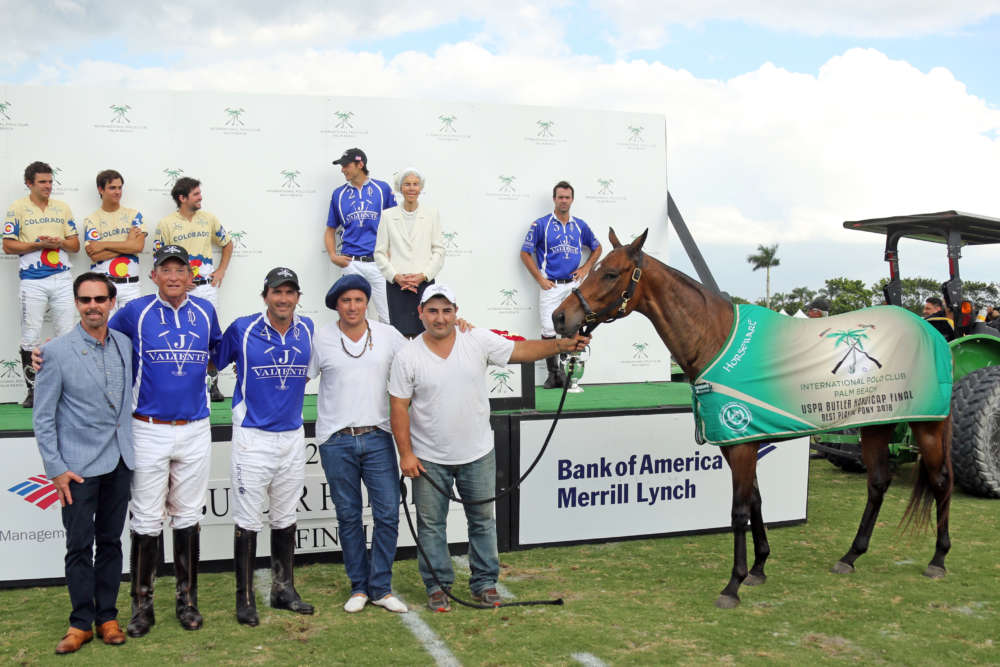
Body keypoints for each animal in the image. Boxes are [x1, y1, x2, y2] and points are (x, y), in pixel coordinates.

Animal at [556, 230, 952, 612]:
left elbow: (739, 510)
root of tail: (931, 331)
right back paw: (851, 555)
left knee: (940, 481)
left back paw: (938, 559)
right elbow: (758, 502)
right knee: (878, 482)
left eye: (610, 273)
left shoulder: (742, 445)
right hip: (876, 425)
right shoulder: (737, 445)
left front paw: (733, 584)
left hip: (927, 426)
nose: (560, 317)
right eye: (593, 269)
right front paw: (759, 568)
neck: (714, 338)